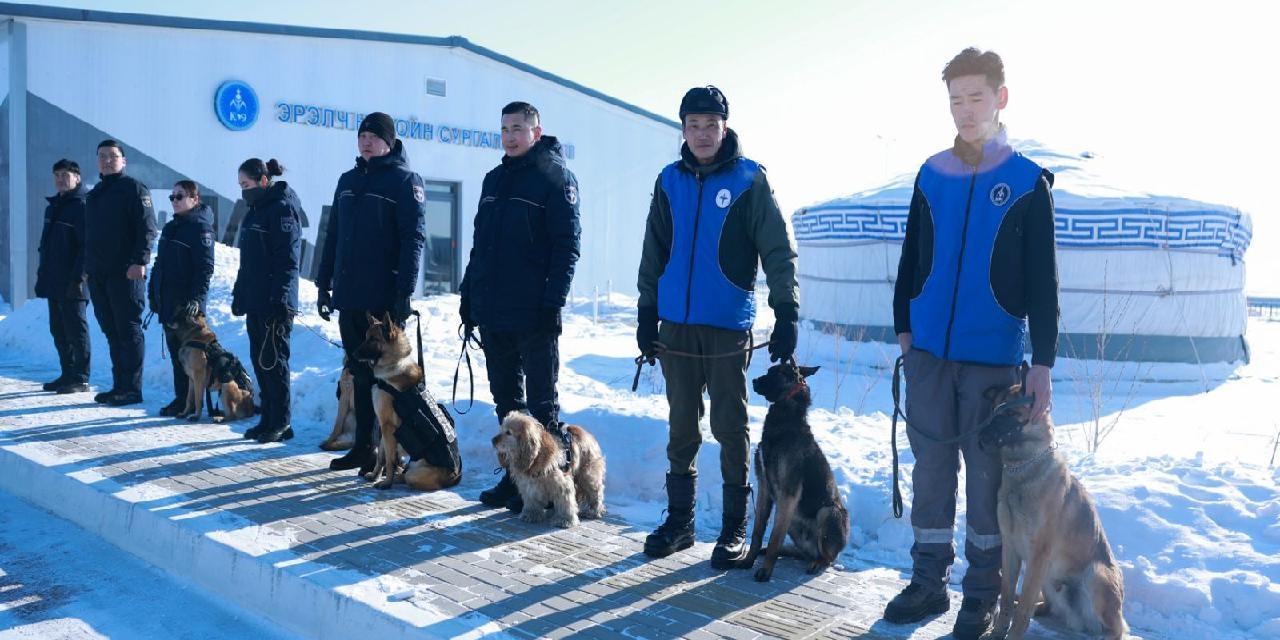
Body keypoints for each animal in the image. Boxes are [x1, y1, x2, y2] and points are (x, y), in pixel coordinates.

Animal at [354, 313, 462, 492]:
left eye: (373, 339)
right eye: (366, 337)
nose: (354, 354)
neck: (393, 363)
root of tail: (456, 476)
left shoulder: (388, 427)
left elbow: (389, 460)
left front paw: (386, 482)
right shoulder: (384, 427)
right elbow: (381, 456)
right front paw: (375, 475)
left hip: (415, 472)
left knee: (407, 476)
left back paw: (398, 476)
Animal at [734, 362, 849, 582]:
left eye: (778, 372)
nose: (754, 380)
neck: (786, 423)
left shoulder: (788, 494)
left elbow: (774, 538)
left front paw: (765, 571)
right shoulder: (764, 487)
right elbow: (758, 531)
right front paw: (748, 560)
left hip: (827, 512)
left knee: (826, 558)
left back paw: (816, 563)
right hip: (794, 521)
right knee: (804, 552)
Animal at [981, 383, 1128, 640]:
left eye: (1010, 414)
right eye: (992, 411)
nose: (980, 437)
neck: (1022, 469)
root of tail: (1078, 621)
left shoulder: (1038, 554)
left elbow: (1023, 606)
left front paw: (1013, 634)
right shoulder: (1010, 548)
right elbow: (1007, 596)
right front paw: (998, 632)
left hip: (1096, 575)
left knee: (1116, 629)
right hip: (1048, 578)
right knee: (1045, 605)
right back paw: (1042, 608)